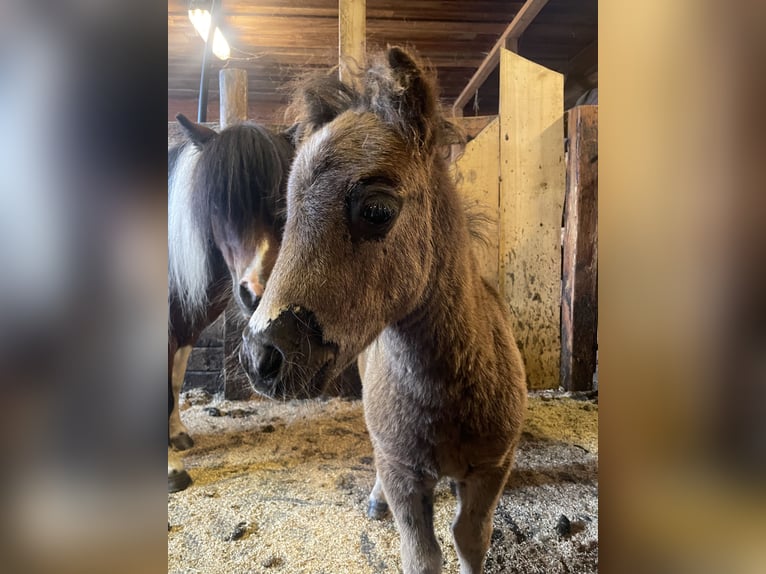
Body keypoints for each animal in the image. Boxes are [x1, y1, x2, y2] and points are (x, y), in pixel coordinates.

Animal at [167, 113, 293, 492]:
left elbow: (174, 381)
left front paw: (176, 435)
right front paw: (172, 468)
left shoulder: (186, 326)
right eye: (218, 203)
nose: (258, 292)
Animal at [239, 47, 528, 573]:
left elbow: (470, 539)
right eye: (288, 214)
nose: (259, 357)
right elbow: (422, 555)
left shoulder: (491, 470)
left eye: (376, 210)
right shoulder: (401, 472)